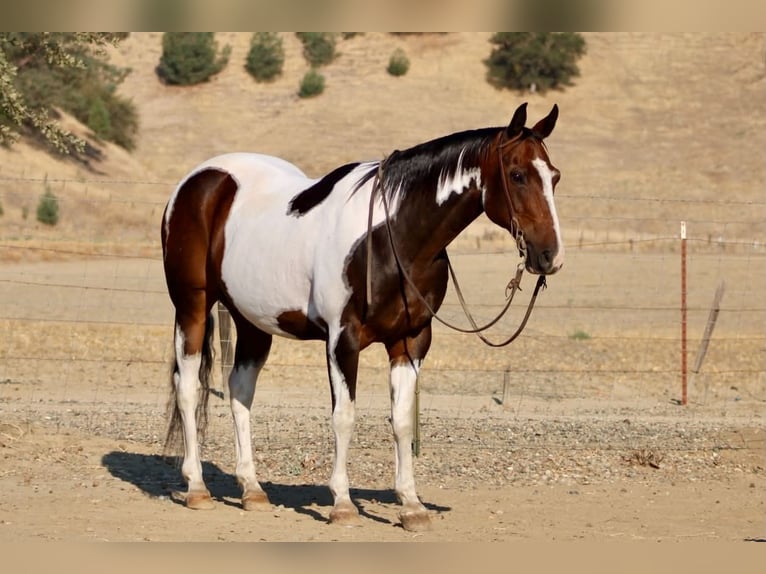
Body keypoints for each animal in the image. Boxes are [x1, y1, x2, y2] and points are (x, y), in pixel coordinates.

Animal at [160, 102, 564, 532]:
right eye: (518, 175)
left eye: (554, 176)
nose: (550, 256)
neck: (393, 237)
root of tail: (197, 181)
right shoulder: (343, 340)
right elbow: (344, 416)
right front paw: (342, 503)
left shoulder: (411, 341)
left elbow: (401, 421)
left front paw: (411, 505)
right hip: (192, 307)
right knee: (188, 387)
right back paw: (197, 488)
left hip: (253, 321)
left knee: (239, 391)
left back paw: (252, 490)